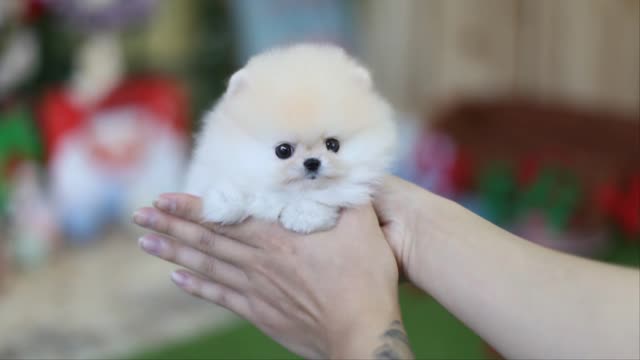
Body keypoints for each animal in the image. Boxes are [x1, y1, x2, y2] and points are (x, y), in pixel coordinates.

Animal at [184, 43, 396, 233]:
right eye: (283, 150)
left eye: (332, 144)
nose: (312, 162)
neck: (287, 193)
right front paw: (225, 203)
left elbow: (322, 199)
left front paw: (303, 216)